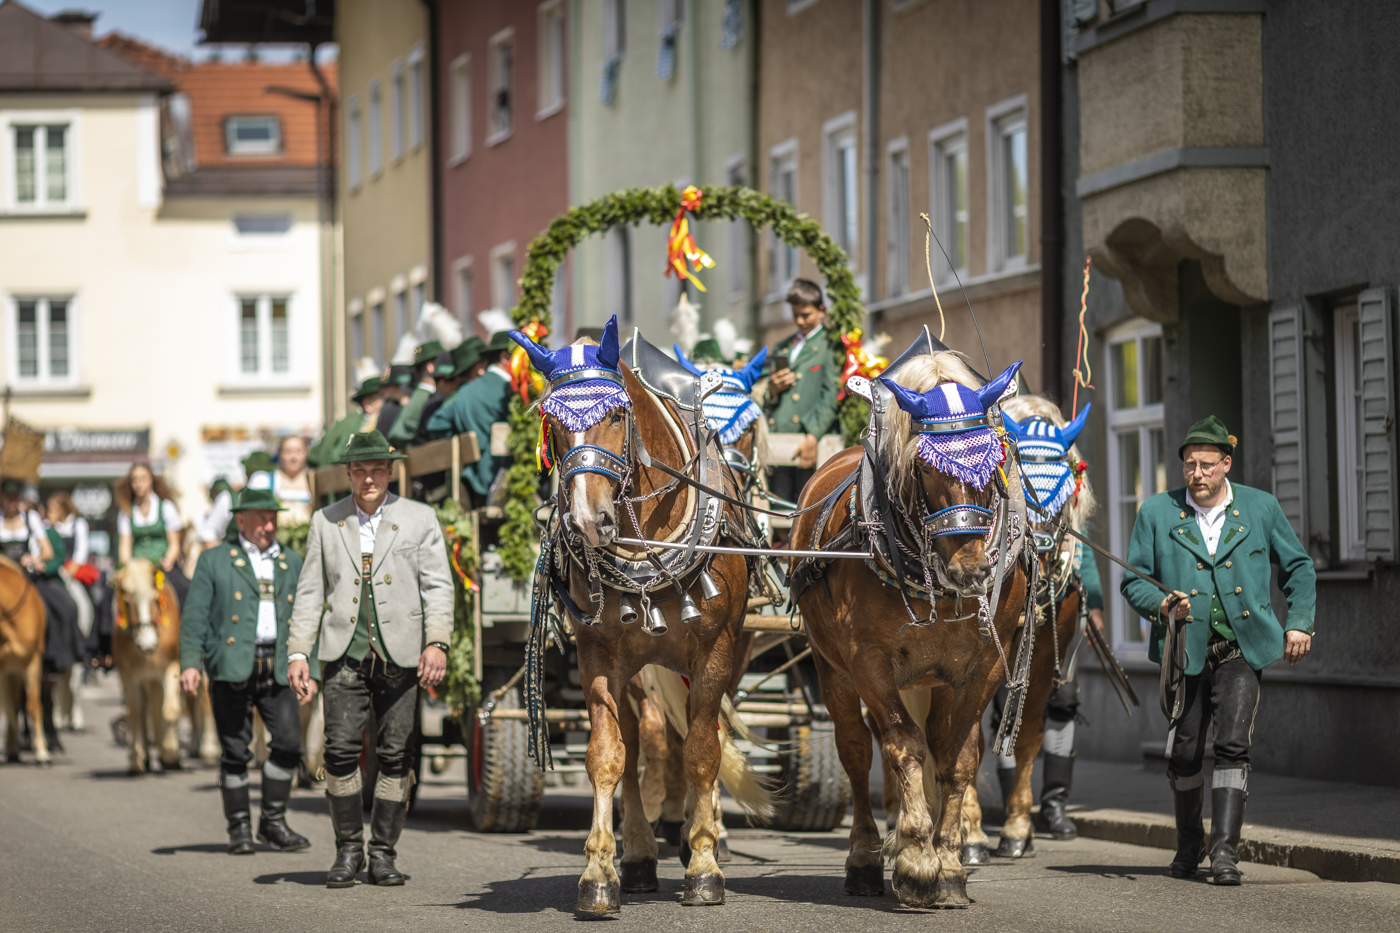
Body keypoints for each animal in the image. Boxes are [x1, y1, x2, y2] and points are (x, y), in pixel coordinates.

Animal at [540, 344, 772, 913]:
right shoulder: (599, 654)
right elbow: (610, 755)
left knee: (696, 732)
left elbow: (703, 750)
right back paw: (643, 853)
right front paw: (600, 871)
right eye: (553, 424)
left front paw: (705, 861)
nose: (587, 520)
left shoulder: (718, 650)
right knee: (640, 742)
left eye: (616, 416)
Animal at [789, 350, 1030, 907]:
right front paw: (918, 859)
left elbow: (958, 758)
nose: (972, 571)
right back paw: (864, 857)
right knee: (857, 750)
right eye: (922, 466)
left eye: (994, 460)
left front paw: (950, 864)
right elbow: (901, 745)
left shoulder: (984, 665)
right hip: (831, 667)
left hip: (931, 679)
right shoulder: (867, 660)